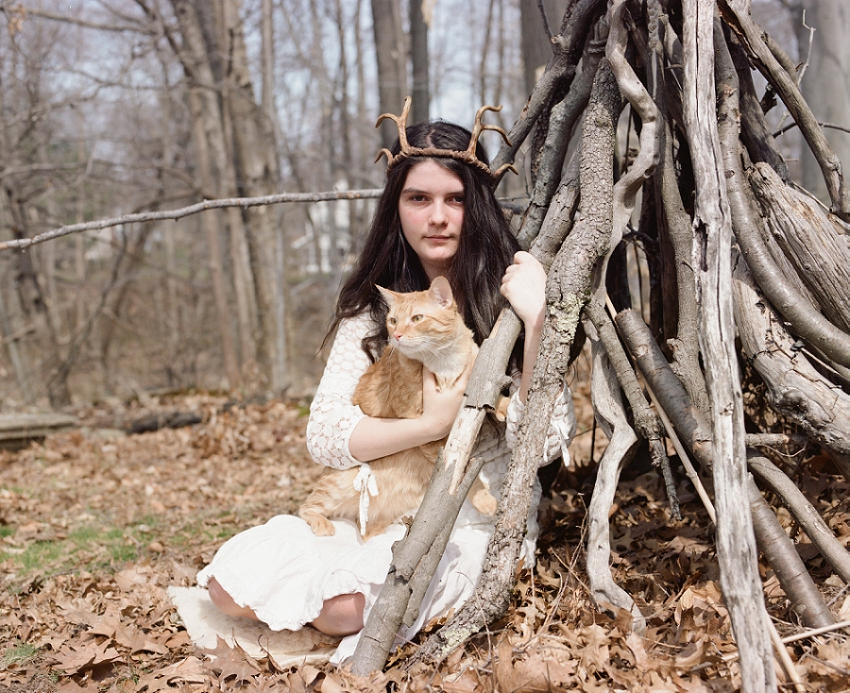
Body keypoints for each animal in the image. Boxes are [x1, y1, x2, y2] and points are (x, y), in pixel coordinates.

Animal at [298, 276, 496, 540]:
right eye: (393, 321)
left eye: (417, 318)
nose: (398, 335)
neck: (444, 359)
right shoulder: (425, 428)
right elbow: (458, 468)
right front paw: (483, 498)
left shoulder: (478, 366)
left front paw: (504, 406)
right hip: (338, 485)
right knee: (307, 506)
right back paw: (322, 524)